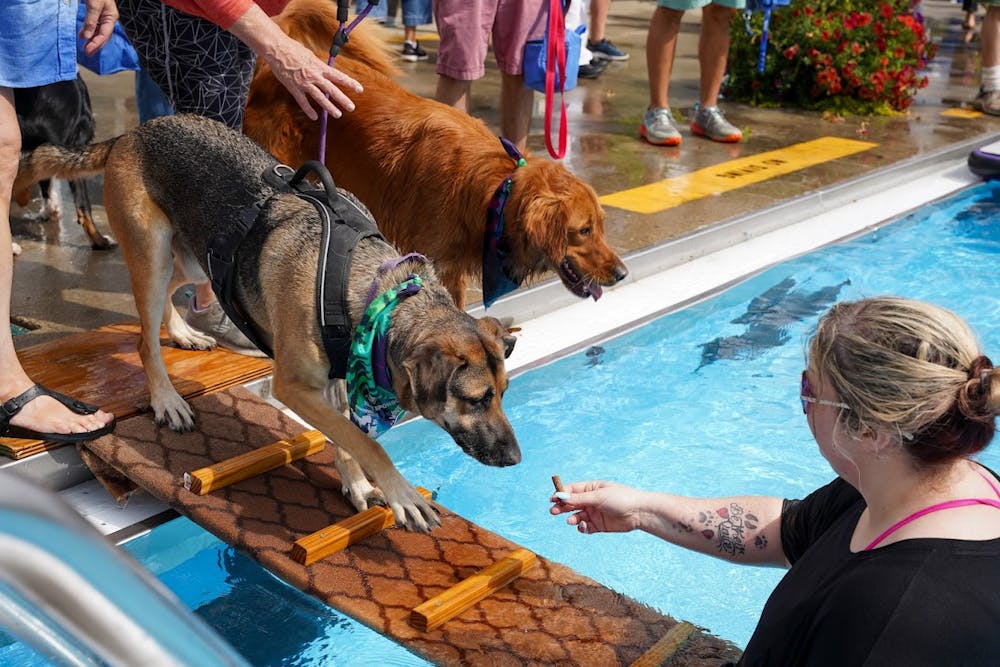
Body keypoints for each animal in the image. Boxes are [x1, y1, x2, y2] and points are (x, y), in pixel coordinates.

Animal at [17, 115, 524, 532]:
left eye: (503, 393)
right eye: (477, 399)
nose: (517, 459)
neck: (381, 295)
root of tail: (135, 132)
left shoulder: (340, 375)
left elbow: (350, 436)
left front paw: (359, 486)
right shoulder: (293, 387)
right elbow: (364, 441)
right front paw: (400, 493)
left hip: (198, 260)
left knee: (170, 296)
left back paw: (182, 332)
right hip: (152, 248)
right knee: (145, 339)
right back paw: (167, 399)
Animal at [245, 0, 628, 310]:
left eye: (601, 226)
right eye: (583, 231)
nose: (622, 273)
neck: (493, 190)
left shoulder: (451, 269)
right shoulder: (428, 260)